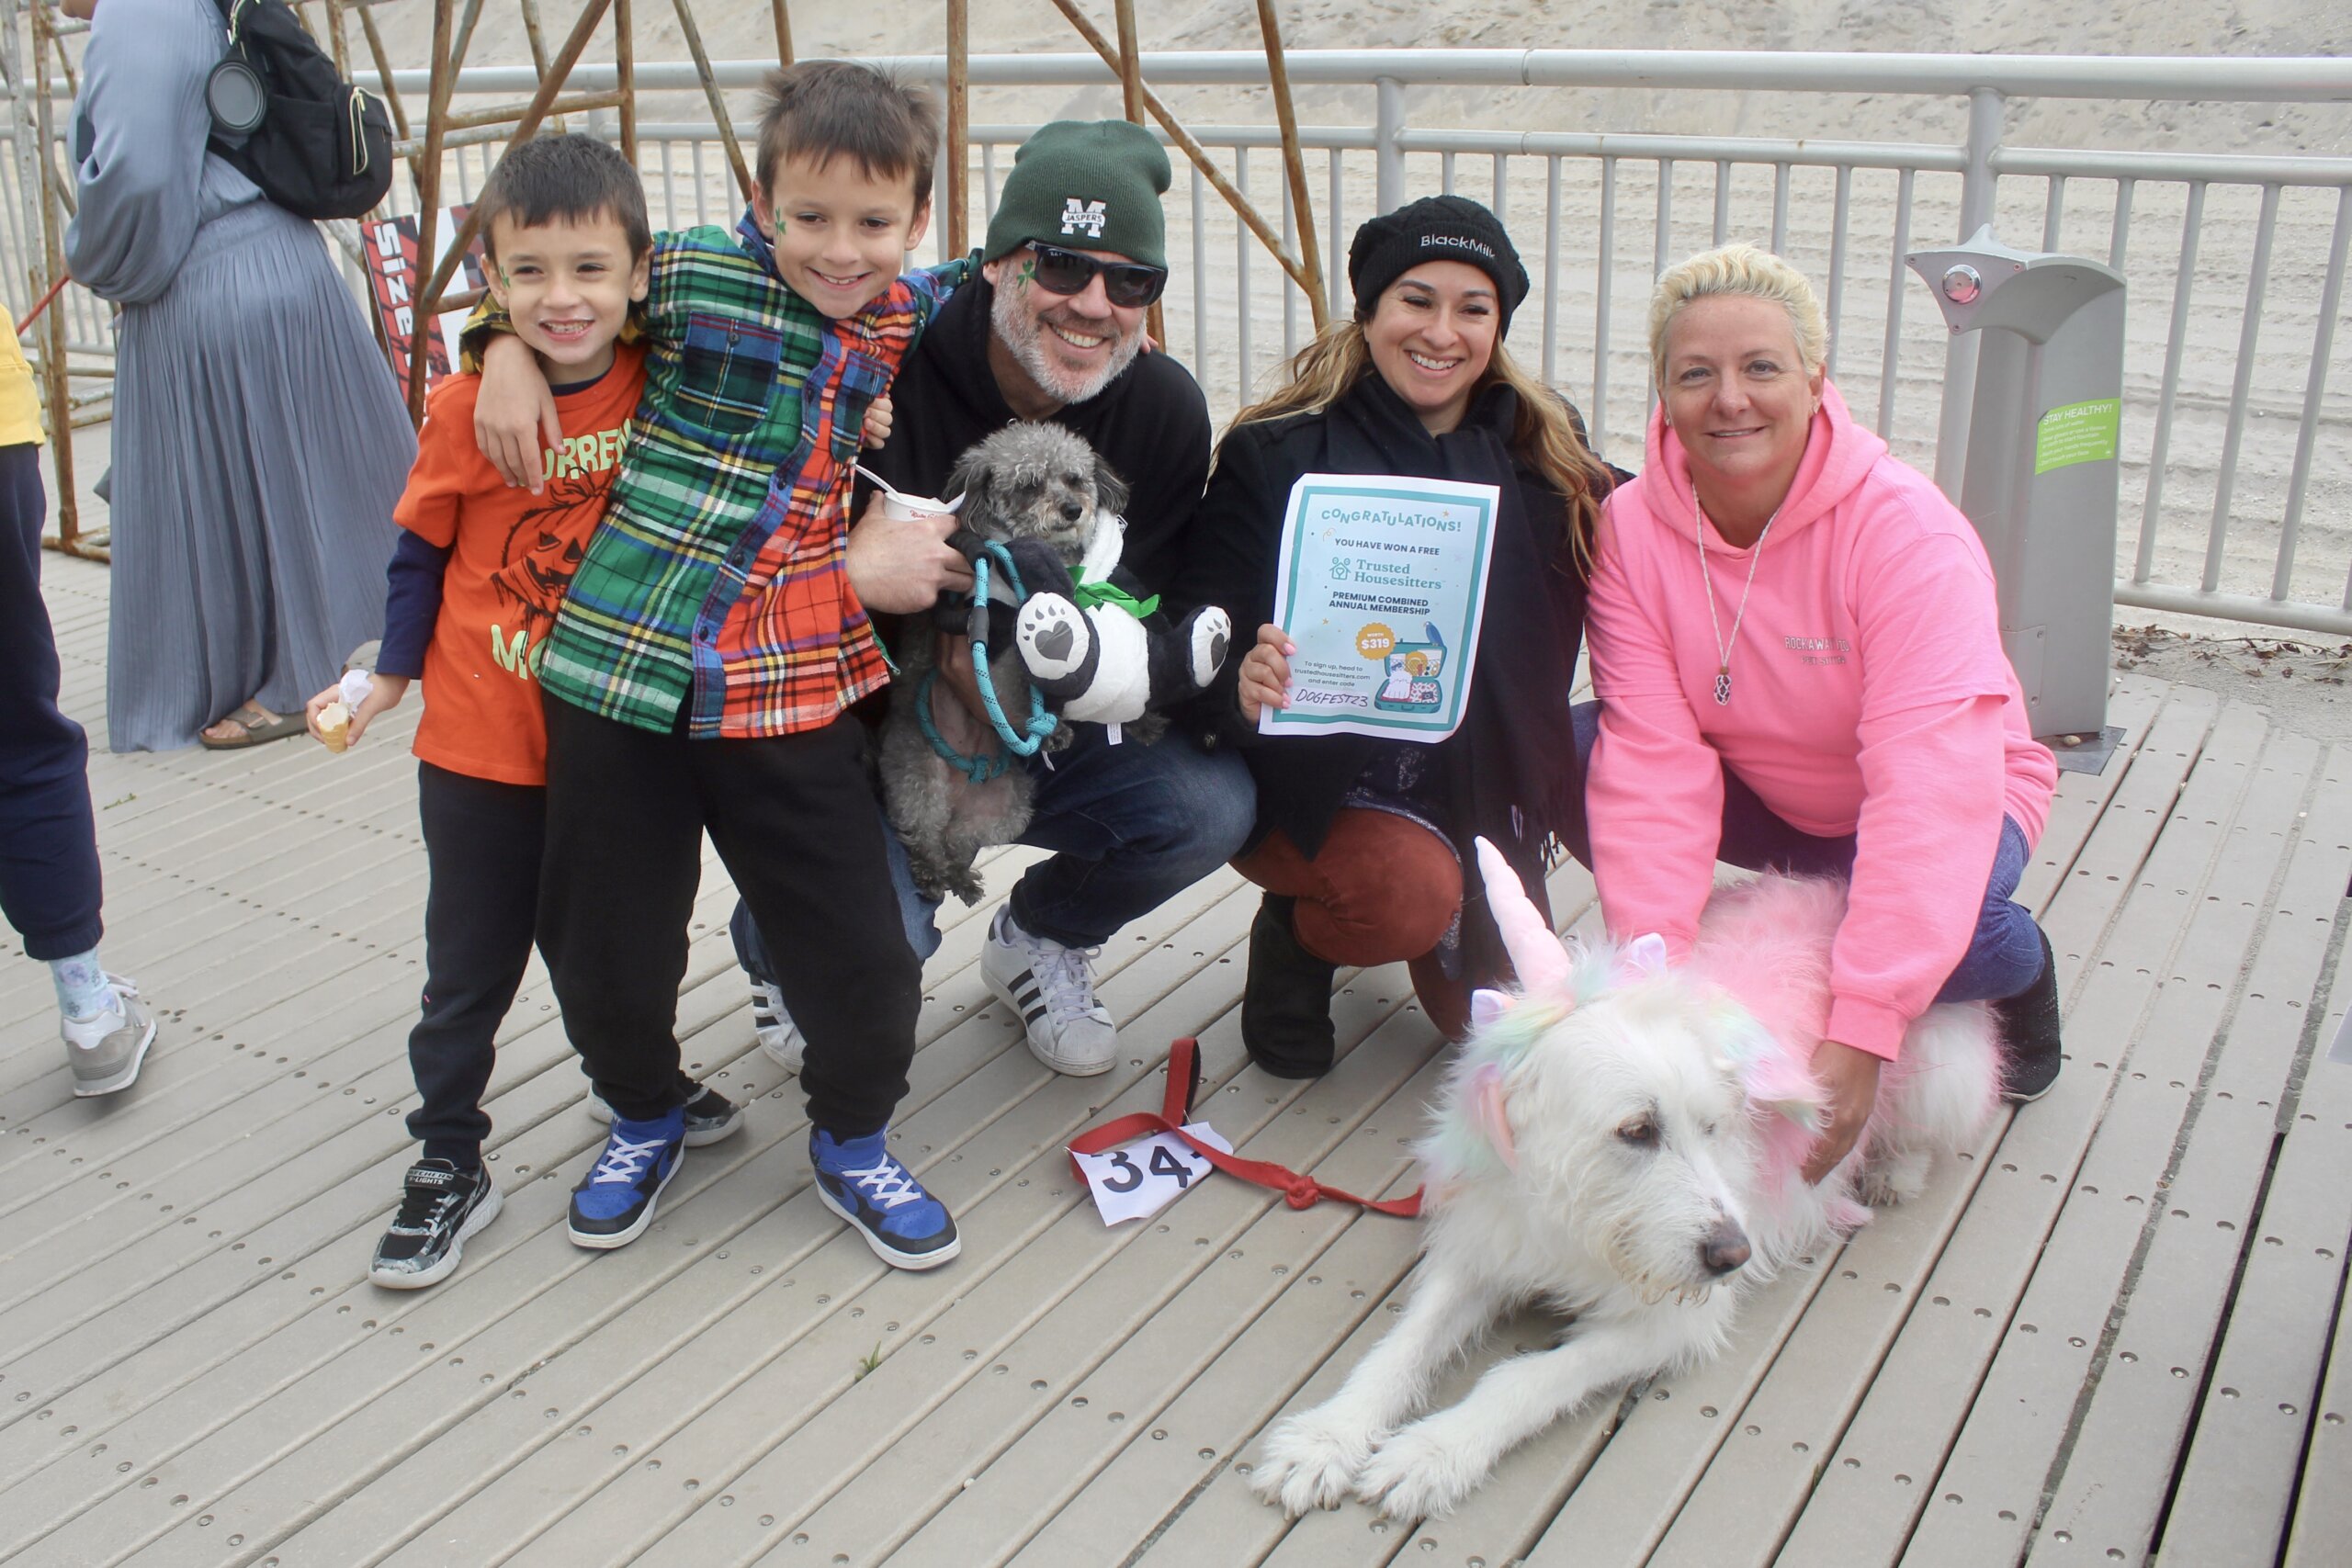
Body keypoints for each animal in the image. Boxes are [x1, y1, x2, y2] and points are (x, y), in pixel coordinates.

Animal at [1250, 846, 2004, 1523]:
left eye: (1714, 1126)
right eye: (1637, 1129)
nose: (1734, 1257)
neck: (1574, 1214)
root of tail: (1837, 891)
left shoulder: (1672, 1320)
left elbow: (1524, 1375)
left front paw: (1435, 1451)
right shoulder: (1482, 1251)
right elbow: (1403, 1344)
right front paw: (1327, 1436)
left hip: (1944, 1065)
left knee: (1928, 1124)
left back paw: (1894, 1170)